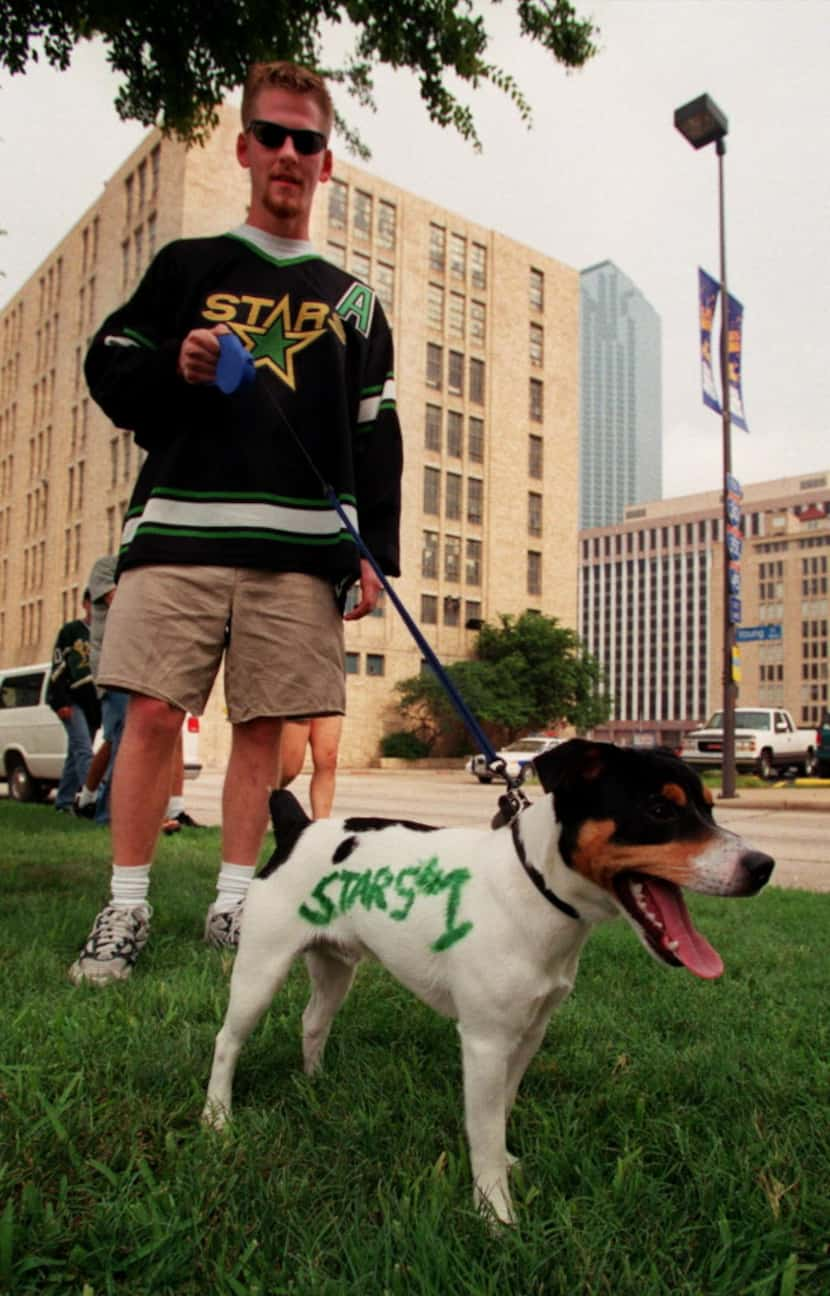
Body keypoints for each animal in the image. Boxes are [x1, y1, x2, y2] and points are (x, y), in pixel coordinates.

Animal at [204, 741, 772, 1223]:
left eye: (710, 810)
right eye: (659, 810)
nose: (763, 865)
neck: (532, 888)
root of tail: (297, 828)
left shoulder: (528, 1035)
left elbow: (502, 1109)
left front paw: (506, 1164)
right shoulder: (485, 1042)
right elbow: (483, 1129)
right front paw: (495, 1212)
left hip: (334, 966)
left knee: (313, 1020)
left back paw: (315, 1083)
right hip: (261, 969)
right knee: (227, 1041)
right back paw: (217, 1118)